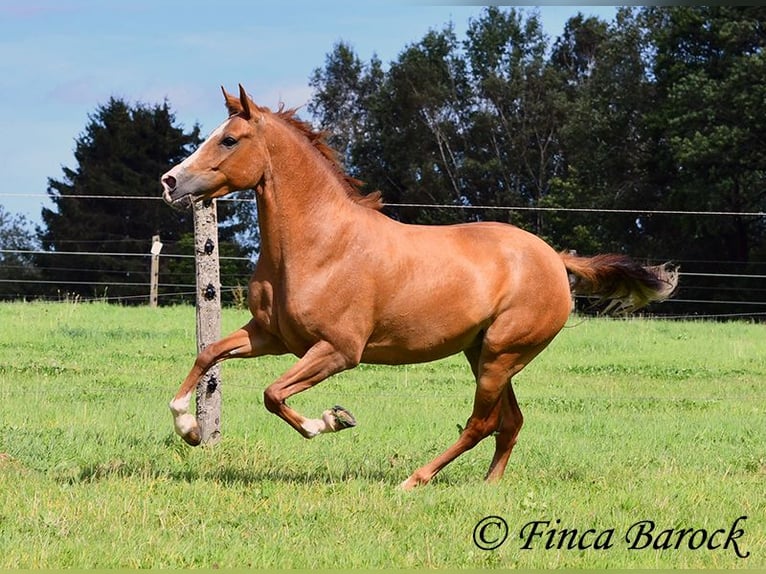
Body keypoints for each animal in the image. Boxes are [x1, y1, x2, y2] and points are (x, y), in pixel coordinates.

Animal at [160, 84, 680, 490]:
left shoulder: (337, 350)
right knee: (510, 422)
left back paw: (414, 479)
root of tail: (555, 259)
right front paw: (189, 428)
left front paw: (330, 420)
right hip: (484, 353)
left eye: (229, 139)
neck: (319, 245)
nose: (169, 182)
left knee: (482, 423)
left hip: (500, 356)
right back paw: (488, 486)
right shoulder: (271, 335)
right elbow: (209, 355)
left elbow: (273, 394)